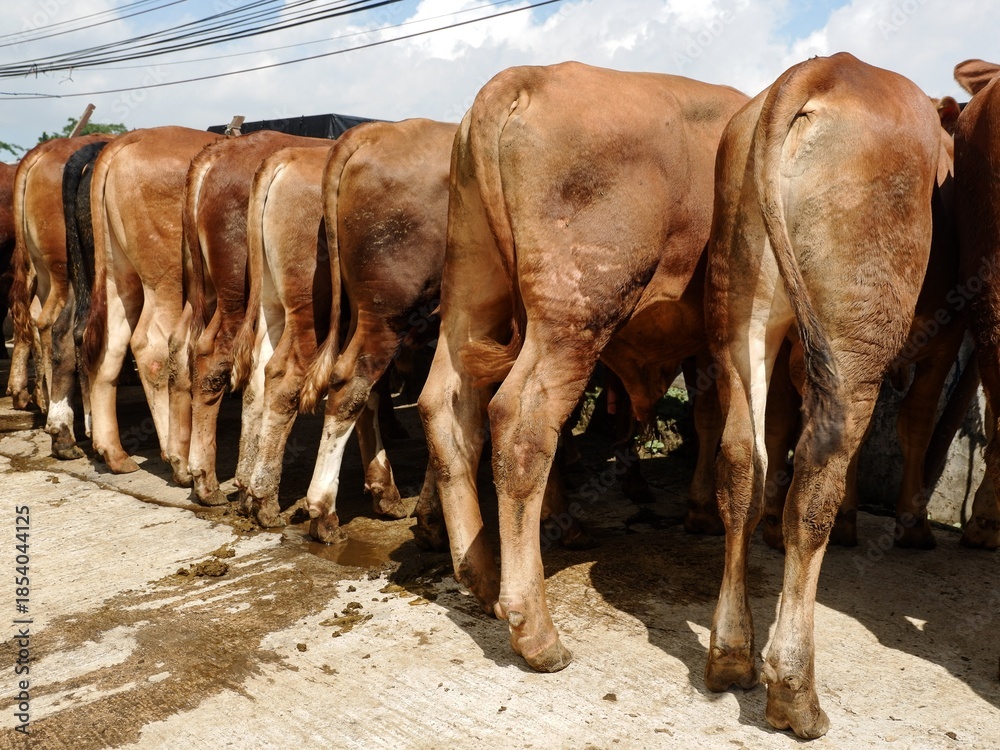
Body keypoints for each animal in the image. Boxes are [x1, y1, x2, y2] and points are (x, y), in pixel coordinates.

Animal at [83, 126, 222, 478]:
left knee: (110, 344)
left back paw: (114, 453)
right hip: (166, 279)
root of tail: (130, 138)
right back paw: (178, 458)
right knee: (154, 347)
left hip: (118, 274)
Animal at [174, 129, 329, 506]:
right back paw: (210, 481)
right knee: (218, 360)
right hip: (243, 297)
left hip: (209, 294)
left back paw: (190, 468)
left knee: (186, 349)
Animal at [415, 61, 748, 672]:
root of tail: (528, 77)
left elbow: (709, 416)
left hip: (469, 292)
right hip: (575, 314)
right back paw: (535, 629)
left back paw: (483, 577)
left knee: (445, 407)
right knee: (522, 422)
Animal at [702, 53, 943, 738]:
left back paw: (731, 658)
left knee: (742, 463)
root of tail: (823, 70)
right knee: (814, 484)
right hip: (857, 329)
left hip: (740, 311)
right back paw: (795, 693)